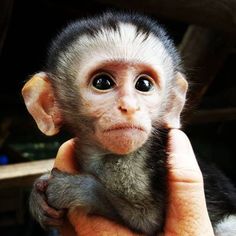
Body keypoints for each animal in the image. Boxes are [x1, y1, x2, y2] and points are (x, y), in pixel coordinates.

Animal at [22, 11, 236, 236]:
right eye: (102, 82)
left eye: (144, 84)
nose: (130, 107)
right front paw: (38, 194)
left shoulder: (135, 162)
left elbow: (147, 221)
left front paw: (76, 188)